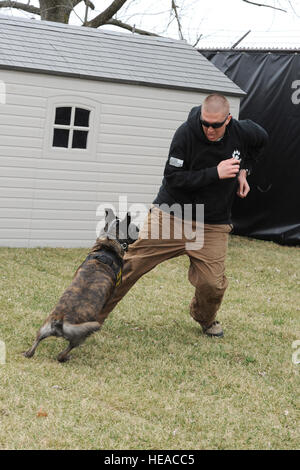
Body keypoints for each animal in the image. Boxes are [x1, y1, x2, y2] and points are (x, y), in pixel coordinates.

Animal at [23, 210, 138, 364]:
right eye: (133, 227)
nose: (139, 230)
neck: (108, 245)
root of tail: (60, 322)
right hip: (79, 337)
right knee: (62, 354)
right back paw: (65, 357)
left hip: (43, 328)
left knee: (36, 343)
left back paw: (28, 353)